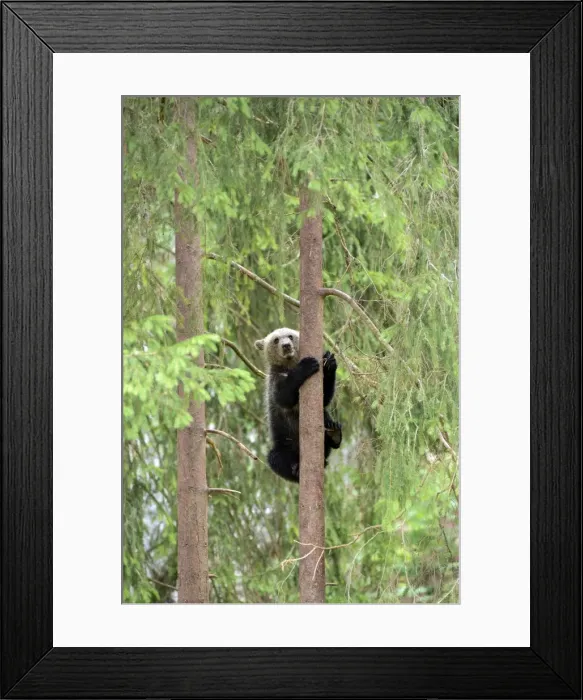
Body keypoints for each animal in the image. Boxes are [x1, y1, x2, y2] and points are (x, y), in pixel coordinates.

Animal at [254, 327, 342, 483]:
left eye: (290, 336)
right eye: (275, 339)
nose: (286, 346)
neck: (288, 365)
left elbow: (325, 397)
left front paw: (329, 362)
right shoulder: (275, 381)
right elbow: (283, 397)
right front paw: (307, 365)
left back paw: (334, 432)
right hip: (284, 444)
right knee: (275, 459)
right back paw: (296, 470)